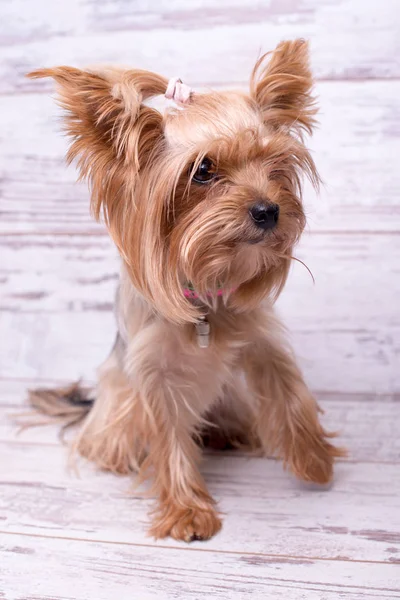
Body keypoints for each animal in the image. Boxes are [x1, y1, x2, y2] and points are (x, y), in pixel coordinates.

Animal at [27, 39, 344, 540]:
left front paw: (312, 459)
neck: (206, 295)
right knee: (114, 436)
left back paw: (228, 434)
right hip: (115, 400)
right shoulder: (153, 374)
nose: (269, 210)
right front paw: (187, 511)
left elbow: (286, 385)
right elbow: (167, 435)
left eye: (274, 164)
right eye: (203, 170)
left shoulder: (259, 337)